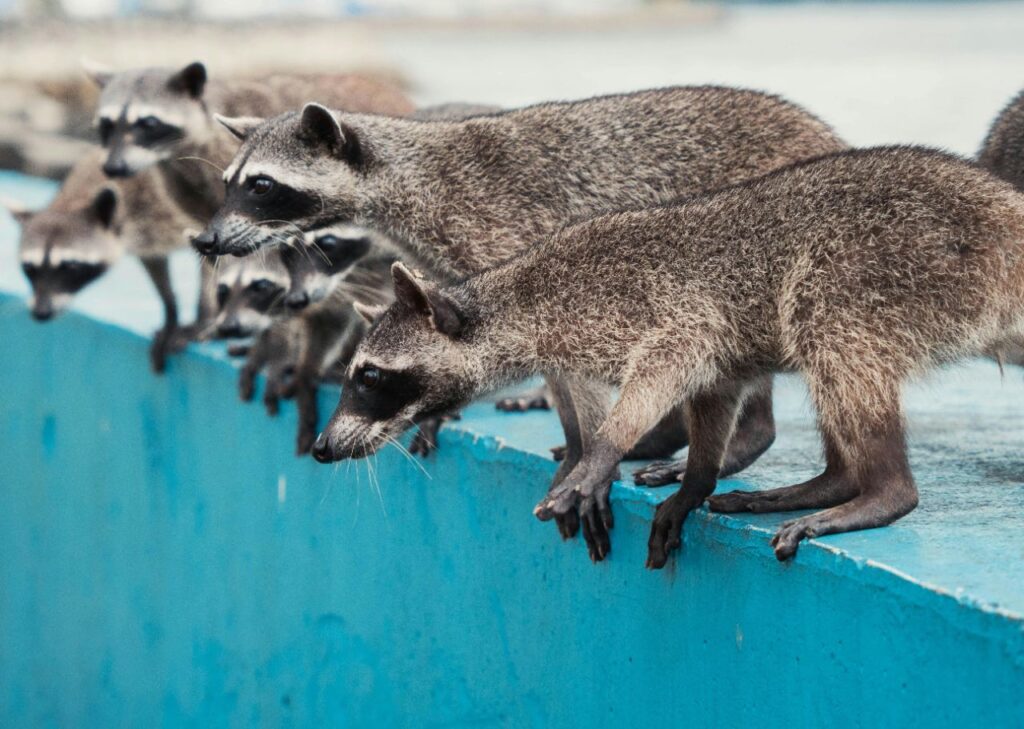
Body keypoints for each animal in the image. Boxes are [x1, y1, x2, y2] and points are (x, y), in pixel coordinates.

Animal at [313, 146, 1024, 566]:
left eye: (370, 377)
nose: (319, 448)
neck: (515, 300)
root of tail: (1004, 212)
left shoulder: (659, 308)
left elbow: (668, 363)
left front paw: (602, 449)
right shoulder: (713, 350)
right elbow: (712, 393)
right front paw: (695, 479)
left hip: (896, 261)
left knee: (830, 328)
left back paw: (879, 491)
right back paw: (835, 478)